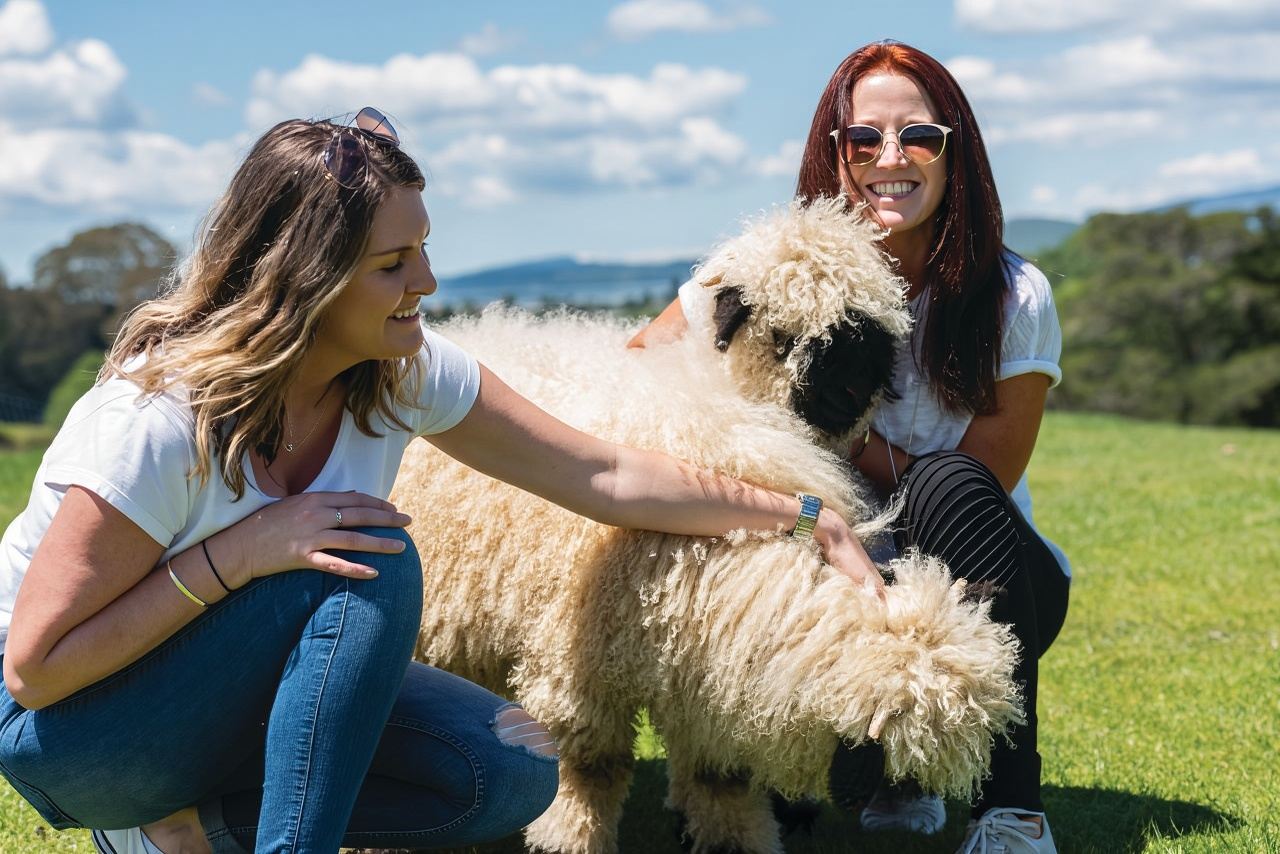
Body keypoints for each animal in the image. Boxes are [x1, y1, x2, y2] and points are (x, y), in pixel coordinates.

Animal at [389, 198, 1023, 854]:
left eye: (874, 339)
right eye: (786, 338)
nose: (850, 397)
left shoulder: (705, 669)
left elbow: (720, 777)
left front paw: (734, 838)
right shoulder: (578, 664)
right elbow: (588, 768)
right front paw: (574, 839)